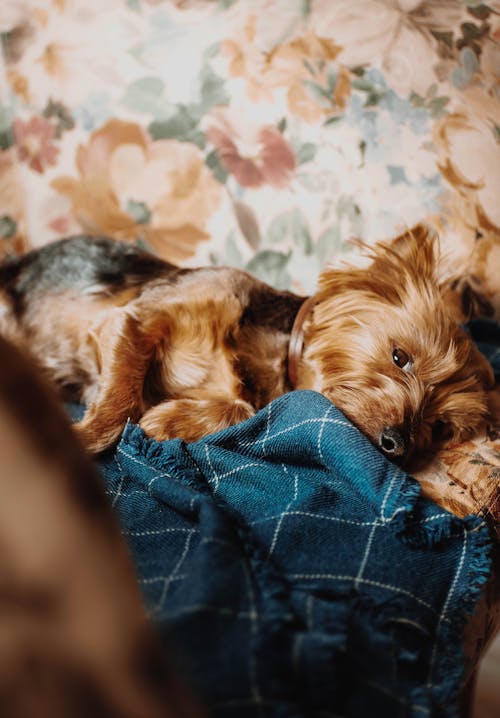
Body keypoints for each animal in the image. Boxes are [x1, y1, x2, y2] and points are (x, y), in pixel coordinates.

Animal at [0, 224, 494, 466]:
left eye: (438, 427)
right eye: (399, 357)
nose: (398, 445)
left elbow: (239, 407)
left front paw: (169, 420)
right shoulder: (135, 319)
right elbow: (117, 403)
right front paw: (79, 438)